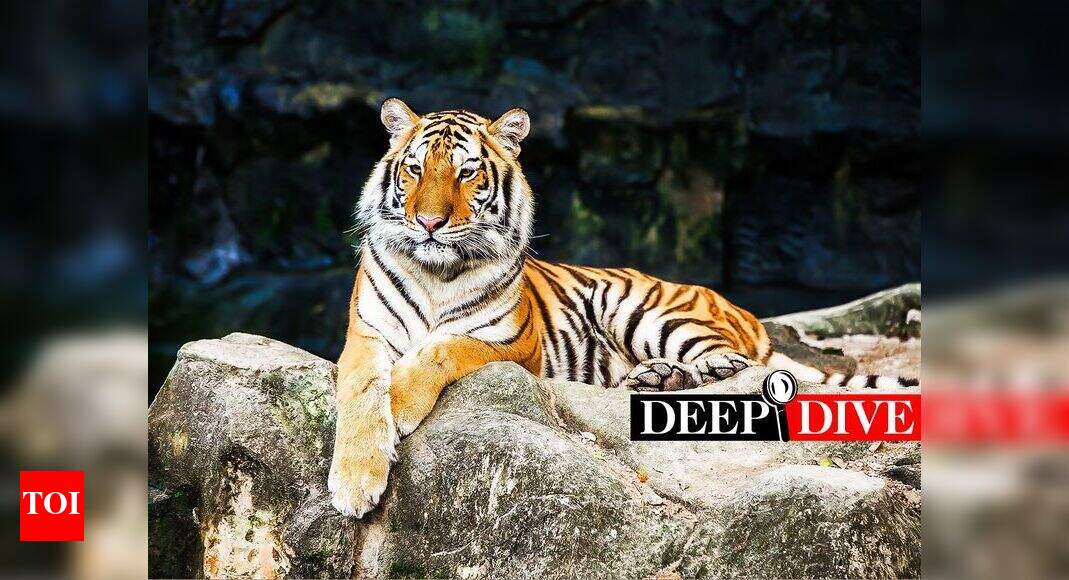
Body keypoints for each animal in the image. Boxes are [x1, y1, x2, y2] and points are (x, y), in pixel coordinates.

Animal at [328, 98, 918, 517]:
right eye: (414, 170)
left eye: (466, 172)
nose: (428, 223)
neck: (437, 273)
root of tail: (738, 307)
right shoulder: (365, 336)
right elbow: (359, 394)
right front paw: (355, 483)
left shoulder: (512, 343)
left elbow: (443, 349)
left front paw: (401, 401)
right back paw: (655, 377)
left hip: (647, 310)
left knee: (738, 363)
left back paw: (697, 370)